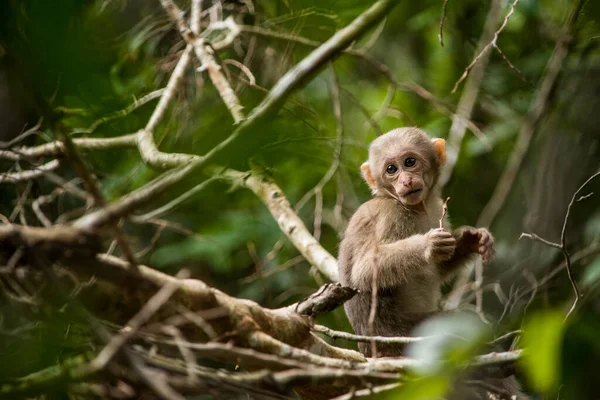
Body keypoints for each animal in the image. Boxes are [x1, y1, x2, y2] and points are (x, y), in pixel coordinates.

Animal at [340, 127, 494, 356]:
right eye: (391, 169)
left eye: (410, 162)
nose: (405, 181)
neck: (415, 208)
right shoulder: (390, 215)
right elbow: (364, 272)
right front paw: (428, 246)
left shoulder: (436, 207)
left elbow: (439, 268)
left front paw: (472, 239)